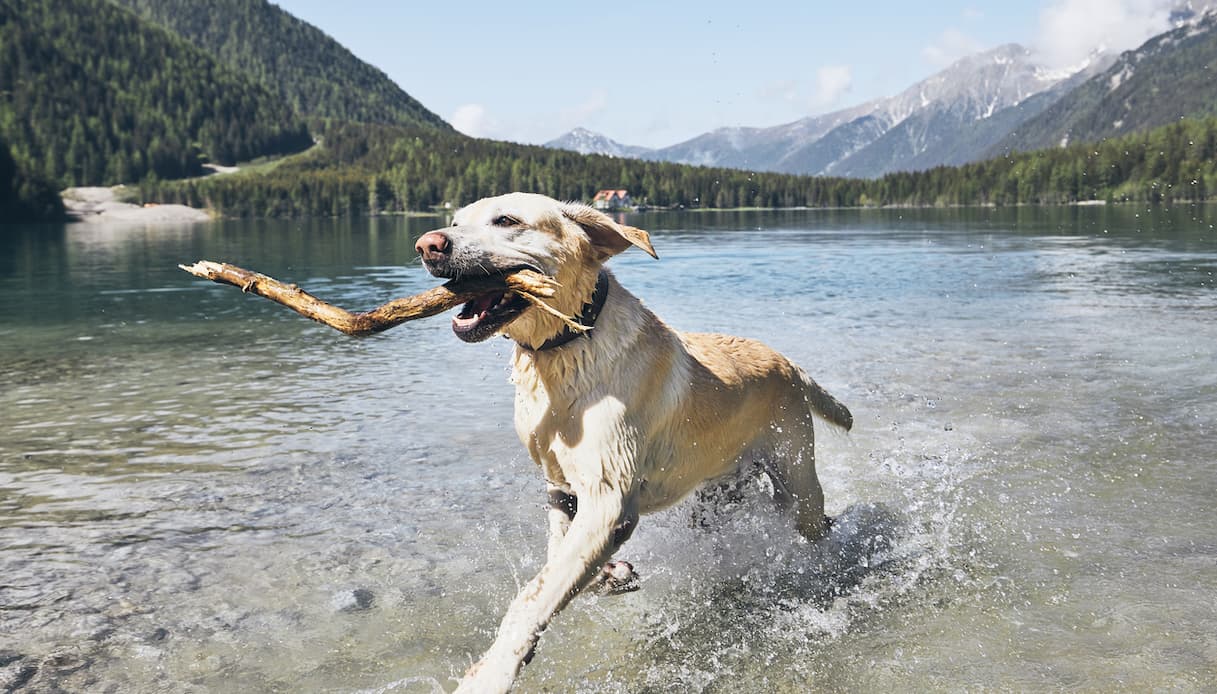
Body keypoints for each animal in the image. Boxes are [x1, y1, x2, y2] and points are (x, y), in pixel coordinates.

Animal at [413, 192, 851, 686]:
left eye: (506, 221)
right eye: (453, 222)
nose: (427, 245)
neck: (565, 349)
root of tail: (790, 364)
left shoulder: (609, 499)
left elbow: (532, 597)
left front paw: (494, 670)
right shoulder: (561, 487)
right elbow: (557, 560)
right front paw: (609, 575)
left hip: (798, 479)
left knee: (817, 522)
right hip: (716, 497)